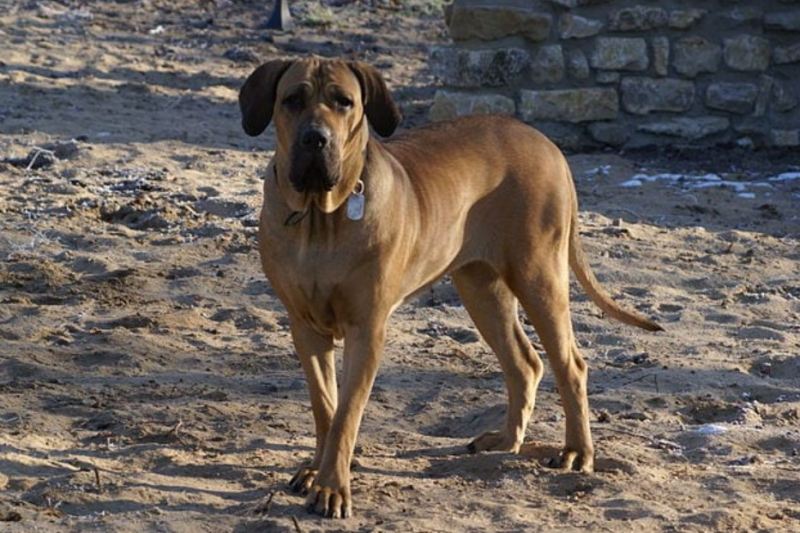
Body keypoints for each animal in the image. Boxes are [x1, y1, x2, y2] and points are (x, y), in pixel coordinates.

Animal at [239, 57, 664, 516]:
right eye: (292, 99)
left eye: (343, 102)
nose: (316, 139)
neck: (321, 219)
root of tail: (547, 144)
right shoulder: (304, 326)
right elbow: (325, 407)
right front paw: (317, 471)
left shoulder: (366, 329)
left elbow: (346, 412)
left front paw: (333, 487)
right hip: (481, 287)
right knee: (525, 363)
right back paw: (506, 442)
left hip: (539, 275)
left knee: (571, 364)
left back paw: (576, 452)